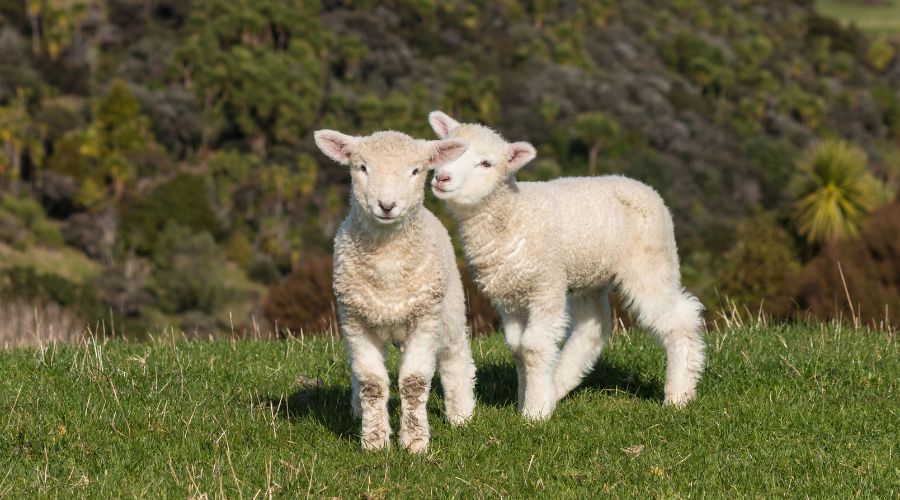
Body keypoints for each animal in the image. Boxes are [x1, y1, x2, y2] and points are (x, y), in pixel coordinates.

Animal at [313, 129, 477, 453]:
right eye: (362, 167)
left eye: (415, 170)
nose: (386, 205)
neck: (387, 267)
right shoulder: (355, 321)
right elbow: (371, 383)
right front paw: (375, 441)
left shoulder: (425, 319)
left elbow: (413, 382)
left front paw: (415, 443)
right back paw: (357, 410)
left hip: (449, 308)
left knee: (456, 356)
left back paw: (461, 413)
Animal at [426, 111, 705, 420]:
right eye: (449, 149)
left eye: (486, 163)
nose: (442, 178)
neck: (512, 215)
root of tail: (646, 189)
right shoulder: (509, 296)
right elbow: (517, 347)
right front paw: (527, 400)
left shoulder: (546, 286)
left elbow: (533, 346)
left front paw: (533, 412)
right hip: (591, 273)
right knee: (593, 328)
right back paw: (557, 385)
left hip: (650, 262)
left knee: (680, 318)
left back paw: (679, 394)